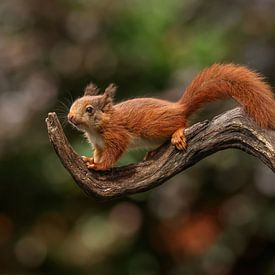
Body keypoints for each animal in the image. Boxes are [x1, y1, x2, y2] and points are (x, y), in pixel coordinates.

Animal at [67, 64, 275, 170]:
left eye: (89, 110)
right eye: (74, 103)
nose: (70, 117)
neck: (96, 129)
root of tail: (179, 108)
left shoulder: (117, 135)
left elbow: (113, 154)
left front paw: (99, 166)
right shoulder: (99, 145)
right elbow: (98, 153)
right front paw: (91, 160)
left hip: (152, 126)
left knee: (181, 123)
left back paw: (178, 133)